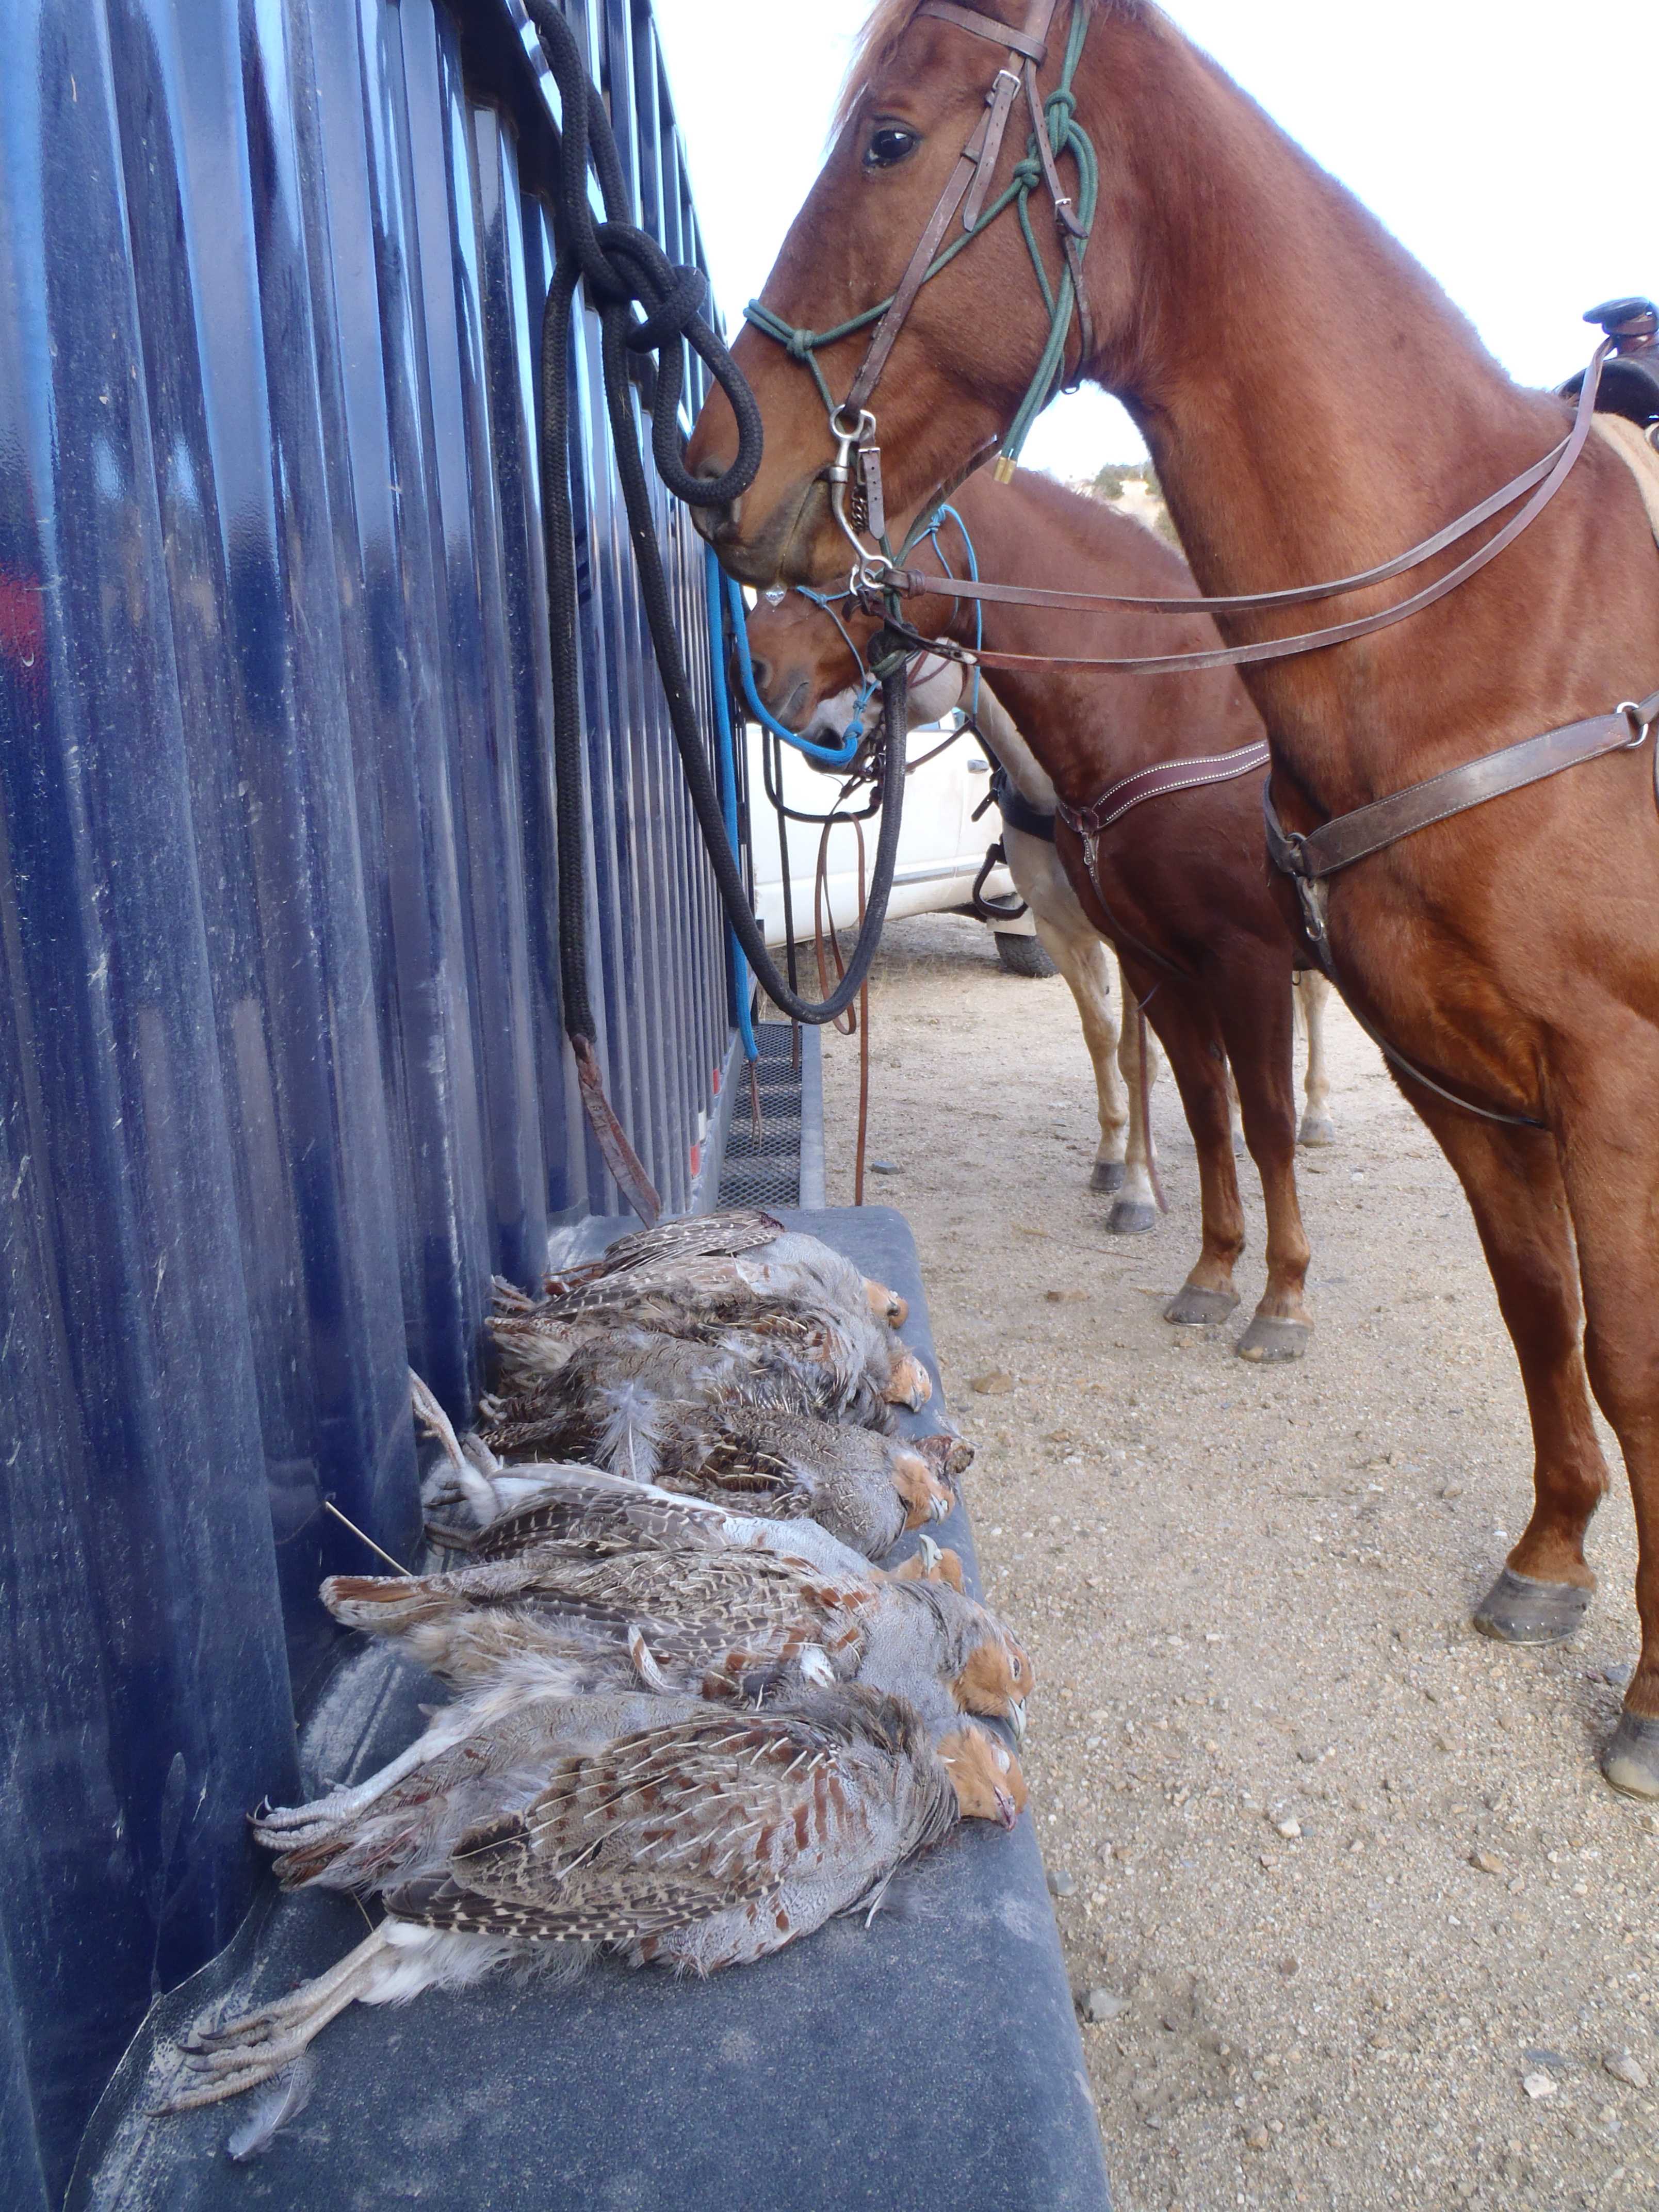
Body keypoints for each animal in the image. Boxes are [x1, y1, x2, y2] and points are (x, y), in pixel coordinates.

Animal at [748, 467, 1338, 1359]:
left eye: (846, 542)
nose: (760, 672)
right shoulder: (1092, 938)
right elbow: (1124, 1056)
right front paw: (1125, 1171)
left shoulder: (1224, 953)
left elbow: (1159, 1066)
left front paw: (1155, 1204)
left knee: (1314, 1018)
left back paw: (1321, 1114)